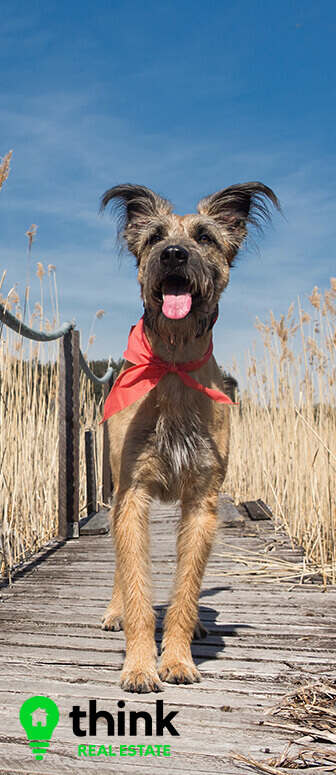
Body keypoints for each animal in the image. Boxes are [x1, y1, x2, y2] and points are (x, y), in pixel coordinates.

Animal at [101, 183, 280, 696]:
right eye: (156, 237)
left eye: (204, 237)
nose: (174, 254)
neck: (175, 362)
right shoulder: (132, 495)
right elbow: (137, 586)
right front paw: (139, 665)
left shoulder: (202, 500)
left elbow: (185, 585)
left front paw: (177, 658)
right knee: (121, 570)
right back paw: (115, 612)